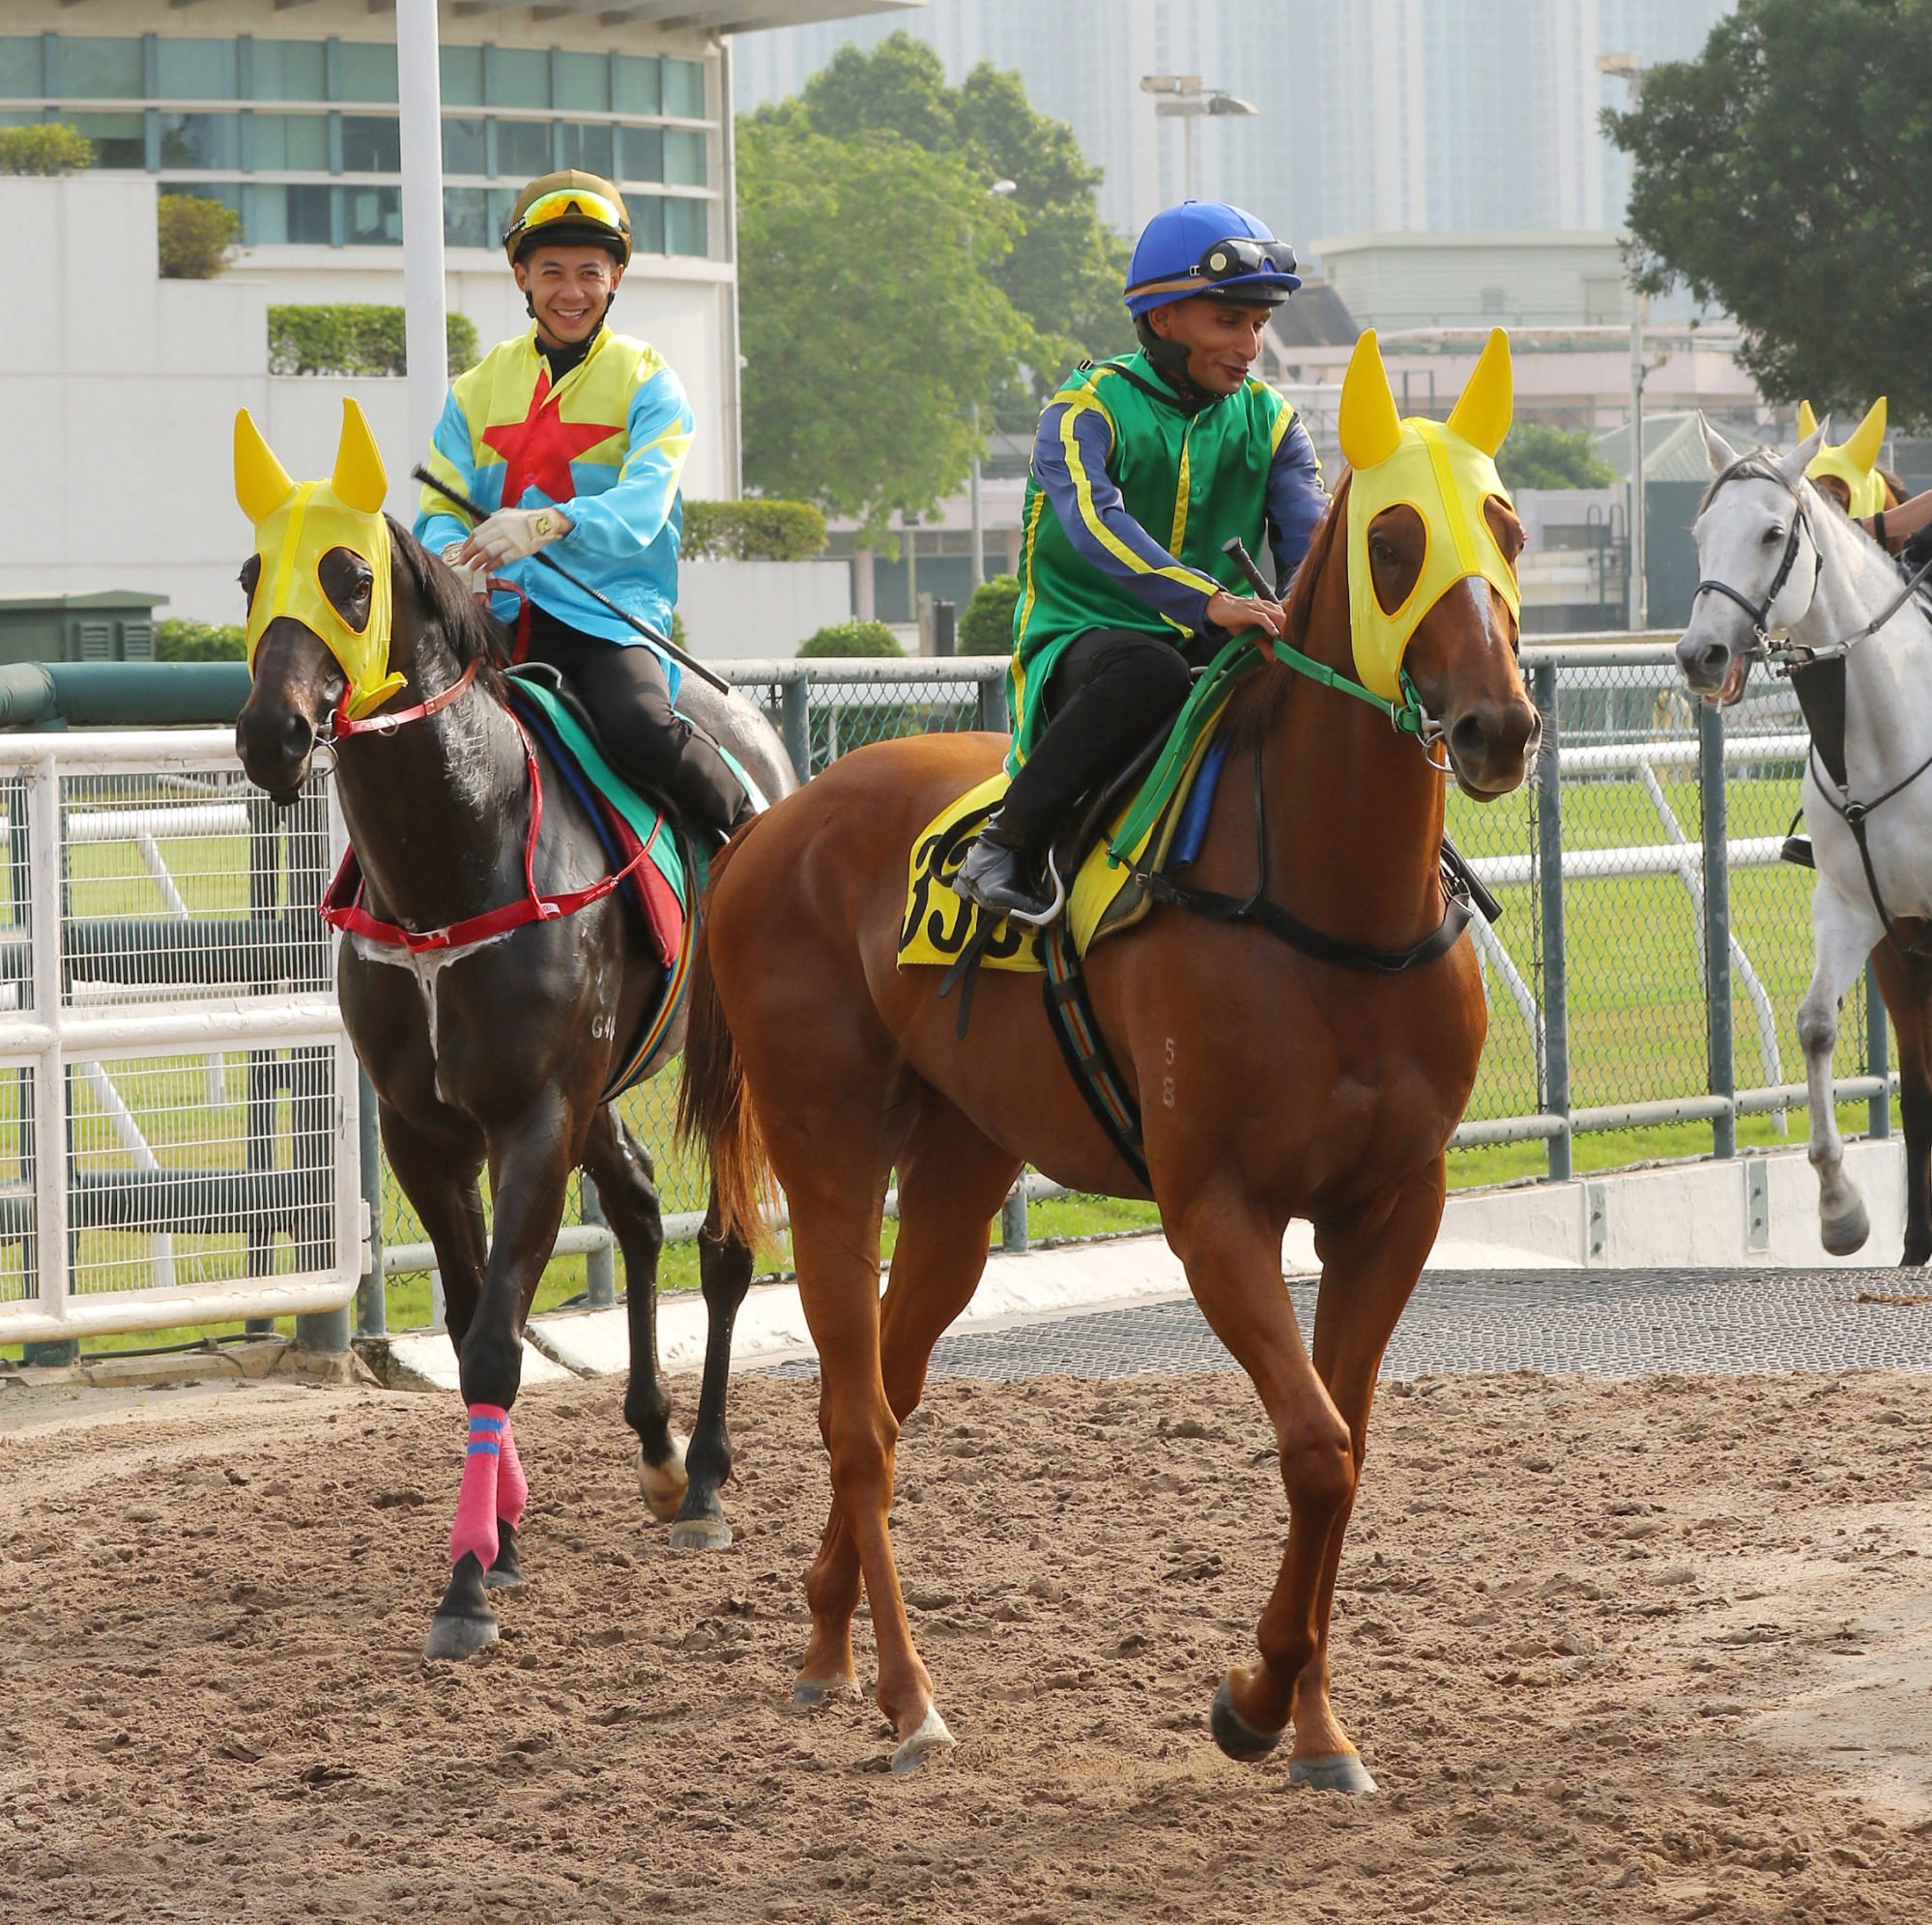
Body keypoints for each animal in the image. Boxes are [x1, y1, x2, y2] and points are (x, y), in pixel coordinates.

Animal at [233, 414, 792, 1662]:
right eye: (251, 575)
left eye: (349, 577)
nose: (269, 735)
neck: (457, 853)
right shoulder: (425, 1128)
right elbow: (465, 1314)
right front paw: (503, 1533)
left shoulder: (534, 1115)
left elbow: (495, 1336)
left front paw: (466, 1586)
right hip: (599, 1094)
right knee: (637, 1204)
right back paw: (657, 1449)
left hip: (724, 1070)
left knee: (725, 1244)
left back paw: (708, 1479)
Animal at [679, 338, 1538, 1786]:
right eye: (1392, 542)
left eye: (1506, 526)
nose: (1498, 728)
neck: (1327, 906)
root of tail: (767, 826)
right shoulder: (1216, 1209)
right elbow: (1314, 1447)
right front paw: (1252, 1701)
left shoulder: (1392, 1205)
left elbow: (1346, 1445)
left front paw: (1315, 1729)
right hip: (827, 1137)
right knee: (856, 1419)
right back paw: (907, 1698)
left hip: (962, 1164)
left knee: (891, 1389)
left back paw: (826, 1640)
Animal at [1677, 419, 1932, 1260]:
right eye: (1700, 534)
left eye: (1771, 532)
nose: (1700, 655)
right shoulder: (1857, 910)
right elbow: (1817, 1026)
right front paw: (1841, 1208)